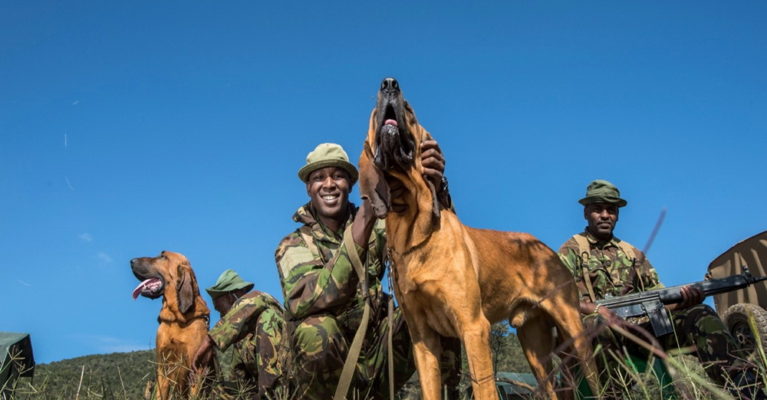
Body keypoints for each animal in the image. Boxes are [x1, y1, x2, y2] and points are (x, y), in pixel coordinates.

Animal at [360, 76, 600, 398]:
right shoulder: (422, 339)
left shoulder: (473, 327)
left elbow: (484, 388)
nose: (389, 84)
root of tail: (546, 248)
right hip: (534, 345)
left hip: (573, 330)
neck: (413, 230)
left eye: (409, 110)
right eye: (374, 114)